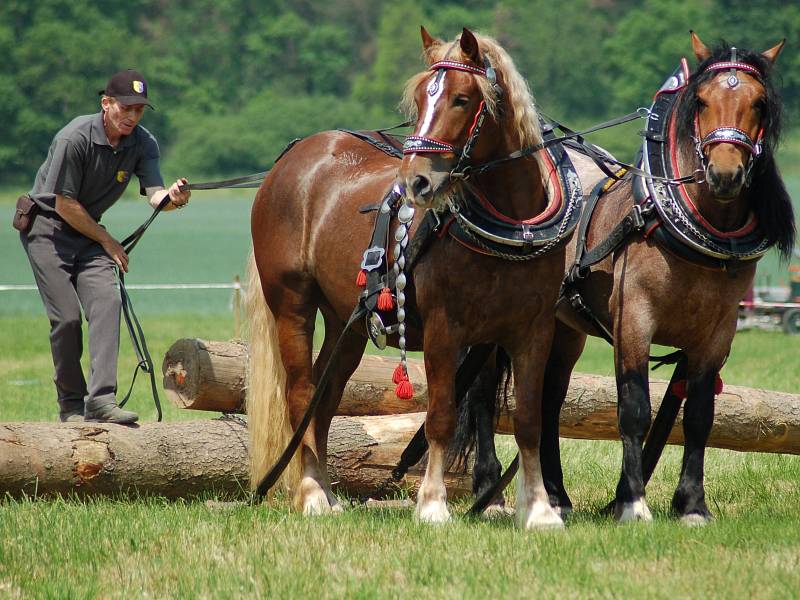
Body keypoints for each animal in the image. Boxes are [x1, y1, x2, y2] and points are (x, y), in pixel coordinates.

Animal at [248, 27, 576, 528]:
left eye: (462, 99)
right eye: (422, 98)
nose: (417, 181)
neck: (511, 228)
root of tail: (290, 158)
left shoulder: (533, 330)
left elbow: (529, 421)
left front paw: (539, 510)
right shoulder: (446, 330)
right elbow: (440, 414)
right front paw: (433, 504)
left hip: (347, 323)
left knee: (326, 396)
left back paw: (327, 490)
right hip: (292, 303)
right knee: (302, 394)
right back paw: (311, 494)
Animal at [536, 32, 792, 524]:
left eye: (758, 104)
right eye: (702, 101)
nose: (725, 174)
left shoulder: (717, 333)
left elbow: (699, 416)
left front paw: (692, 504)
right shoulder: (634, 319)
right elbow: (635, 409)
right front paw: (633, 503)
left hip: (564, 330)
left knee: (547, 399)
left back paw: (556, 495)